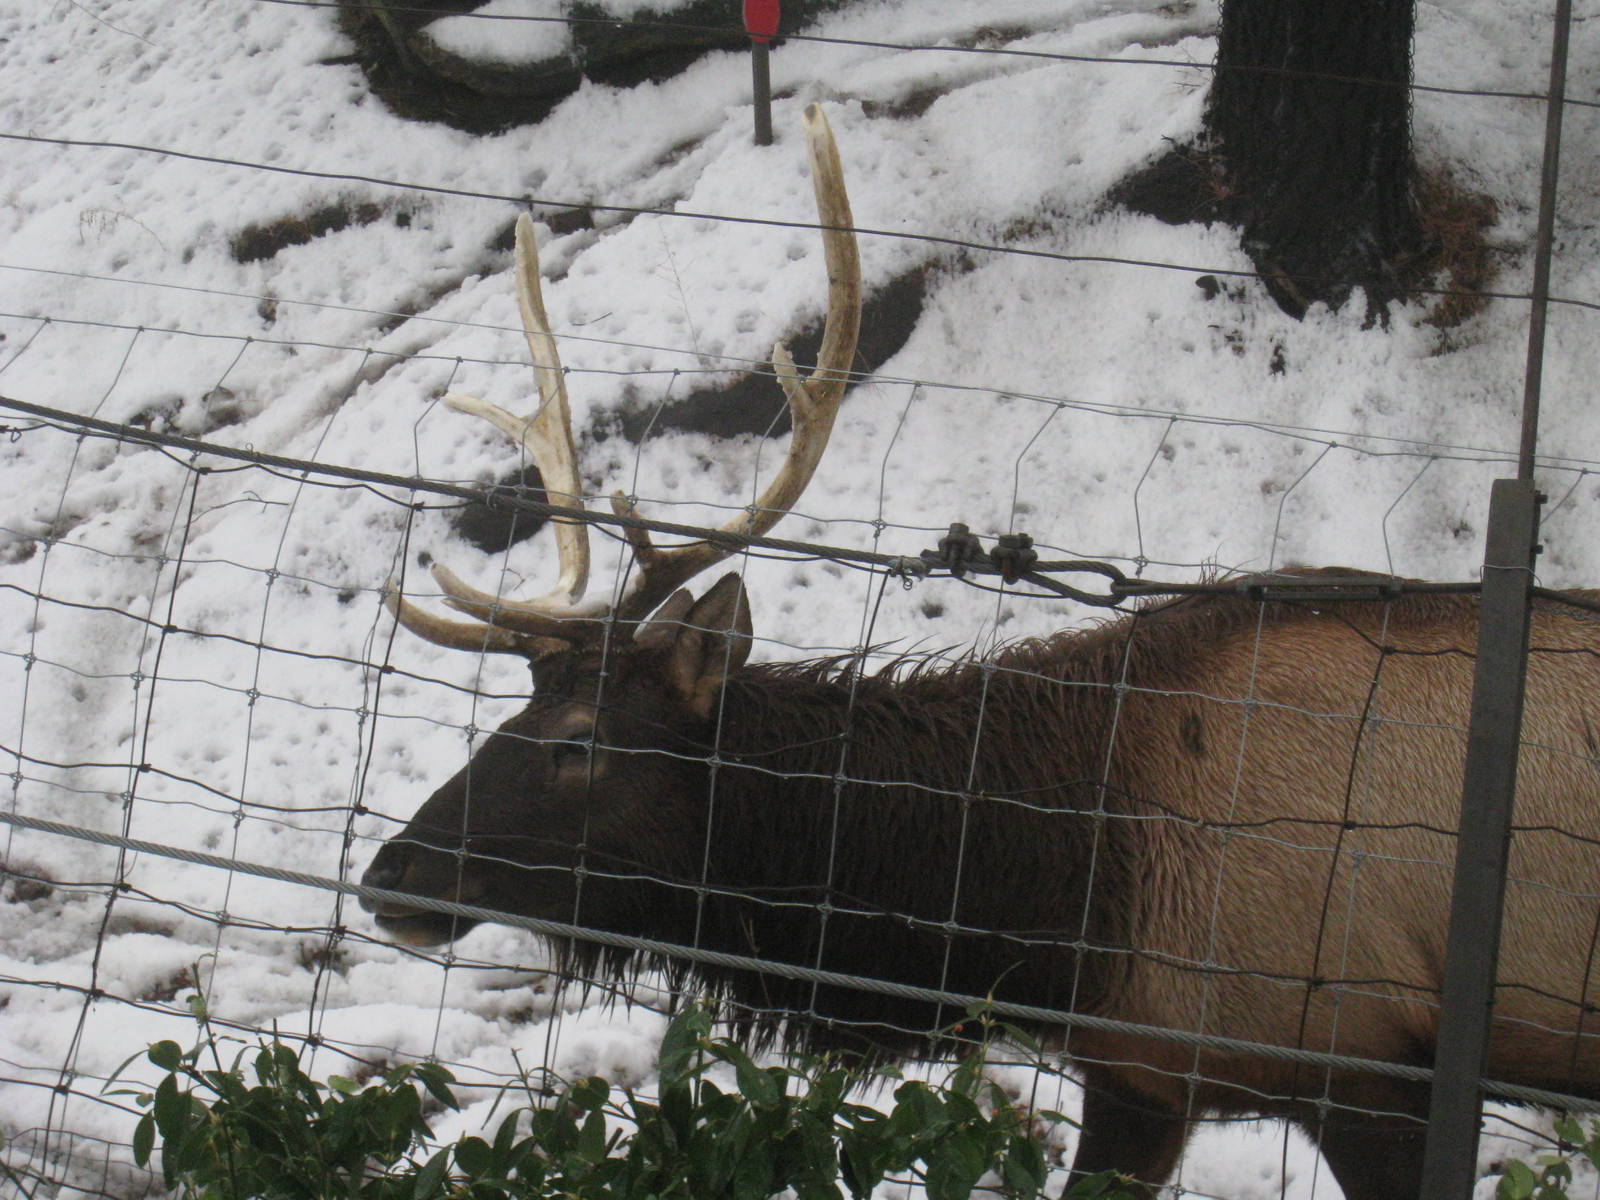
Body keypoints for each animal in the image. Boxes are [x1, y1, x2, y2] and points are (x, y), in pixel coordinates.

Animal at [360, 105, 1600, 1199]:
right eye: (511, 715)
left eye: (579, 741)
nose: (389, 876)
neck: (1065, 905)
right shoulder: (1143, 1070)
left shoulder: (1364, 1060)